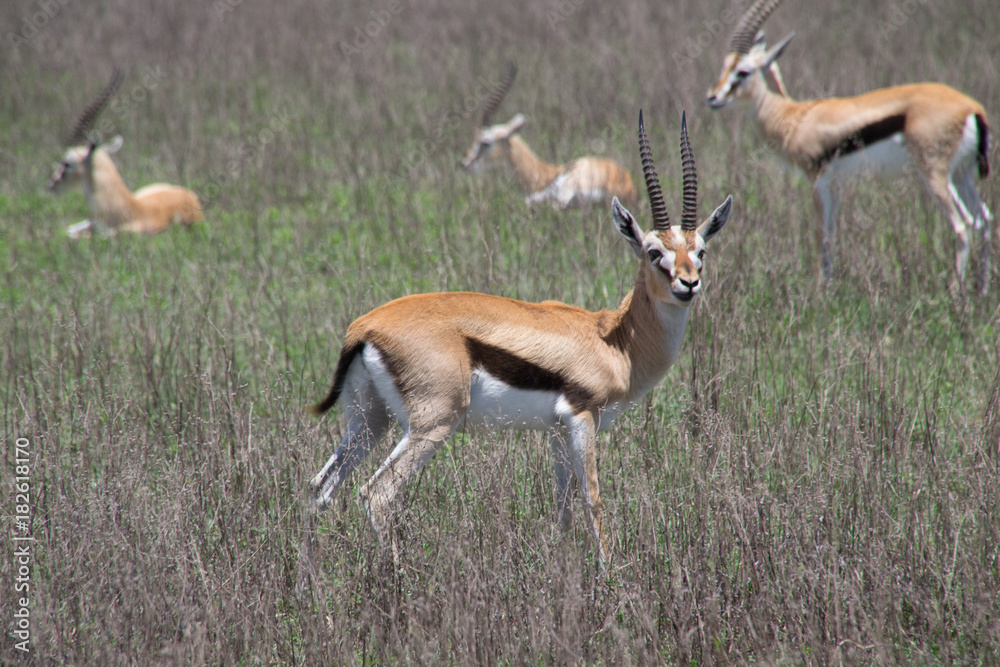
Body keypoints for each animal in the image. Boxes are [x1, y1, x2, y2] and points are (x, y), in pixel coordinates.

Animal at [298, 110, 732, 587]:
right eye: (654, 252)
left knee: (320, 488)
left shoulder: (557, 432)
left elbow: (563, 508)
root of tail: (364, 326)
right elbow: (593, 499)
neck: (614, 340)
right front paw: (609, 581)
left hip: (368, 422)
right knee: (377, 493)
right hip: (432, 424)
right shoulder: (583, 419)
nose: (688, 285)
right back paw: (404, 584)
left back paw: (307, 586)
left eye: (701, 251)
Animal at [706, 0, 992, 292]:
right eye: (724, 67)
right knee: (984, 219)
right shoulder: (835, 185)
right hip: (962, 175)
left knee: (963, 225)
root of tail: (972, 109)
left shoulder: (817, 179)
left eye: (743, 71)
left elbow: (821, 233)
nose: (712, 97)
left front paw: (821, 290)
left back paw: (956, 293)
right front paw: (830, 285)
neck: (794, 119)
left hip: (935, 175)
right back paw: (982, 290)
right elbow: (832, 232)